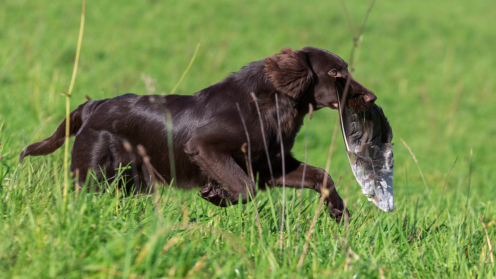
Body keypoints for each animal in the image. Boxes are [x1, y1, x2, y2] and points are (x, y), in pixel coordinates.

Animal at [19, 47, 376, 224]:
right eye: (334, 72)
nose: (371, 97)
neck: (269, 104)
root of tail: (94, 105)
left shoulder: (271, 164)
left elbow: (322, 176)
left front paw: (340, 214)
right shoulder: (205, 147)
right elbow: (244, 188)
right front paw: (215, 195)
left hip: (131, 183)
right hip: (92, 175)